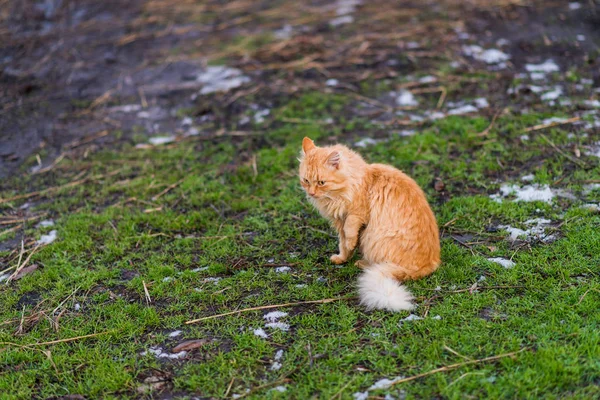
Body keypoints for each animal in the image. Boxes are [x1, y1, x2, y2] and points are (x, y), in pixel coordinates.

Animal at [298, 136, 438, 310]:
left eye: (321, 182)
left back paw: (363, 263)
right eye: (306, 180)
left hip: (373, 238)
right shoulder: (339, 222)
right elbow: (343, 244)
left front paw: (351, 244)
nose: (311, 193)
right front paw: (342, 258)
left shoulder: (357, 214)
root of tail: (431, 263)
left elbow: (350, 231)